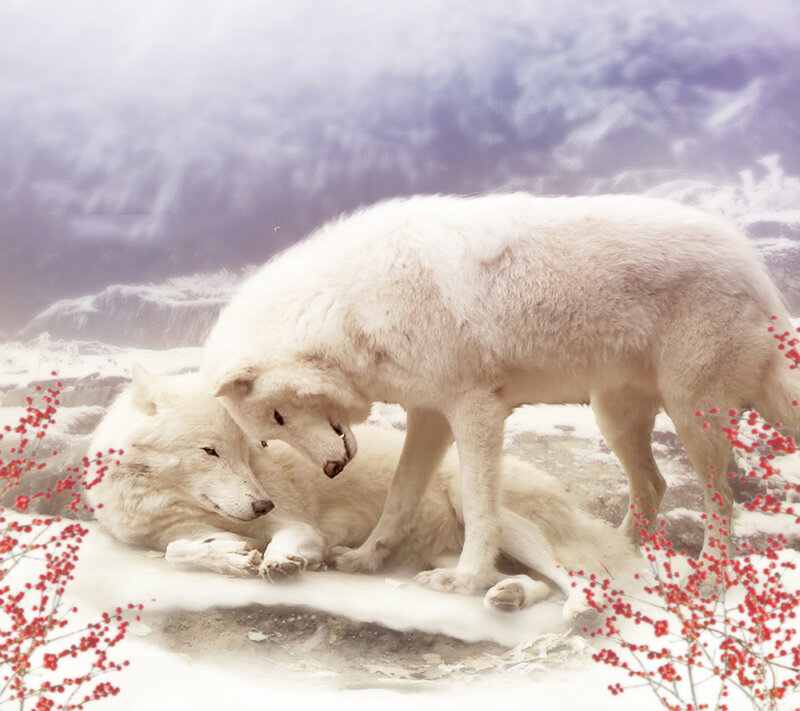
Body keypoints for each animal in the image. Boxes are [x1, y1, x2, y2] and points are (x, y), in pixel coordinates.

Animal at [87, 367, 639, 616]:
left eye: (247, 452)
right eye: (210, 452)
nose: (262, 503)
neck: (162, 499)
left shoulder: (298, 523)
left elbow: (285, 543)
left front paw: (279, 561)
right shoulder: (169, 533)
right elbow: (178, 549)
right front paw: (228, 554)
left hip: (479, 507)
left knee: (574, 577)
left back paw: (579, 609)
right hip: (445, 558)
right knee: (514, 580)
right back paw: (508, 595)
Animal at [200, 193, 800, 596]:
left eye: (279, 416)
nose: (330, 471)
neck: (350, 307)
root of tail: (752, 263)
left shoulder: (476, 411)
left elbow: (481, 508)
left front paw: (465, 581)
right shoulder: (429, 415)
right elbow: (398, 499)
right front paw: (367, 560)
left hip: (691, 415)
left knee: (720, 499)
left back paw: (710, 580)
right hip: (614, 418)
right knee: (653, 485)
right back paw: (620, 552)